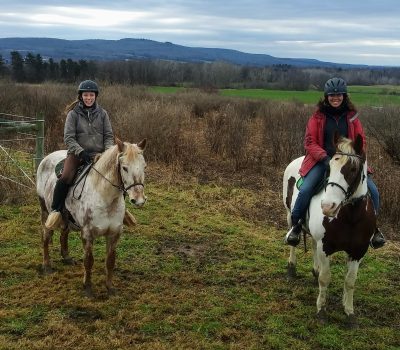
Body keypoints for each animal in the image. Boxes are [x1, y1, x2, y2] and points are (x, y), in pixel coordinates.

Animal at [36, 139, 147, 296]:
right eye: (124, 168)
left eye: (144, 167)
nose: (139, 200)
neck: (104, 196)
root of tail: (47, 158)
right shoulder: (88, 234)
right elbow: (88, 261)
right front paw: (88, 288)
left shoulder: (114, 234)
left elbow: (110, 261)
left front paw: (110, 287)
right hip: (45, 211)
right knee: (46, 235)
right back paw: (46, 266)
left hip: (67, 217)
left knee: (64, 233)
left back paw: (66, 257)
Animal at [282, 134, 376, 326]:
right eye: (329, 167)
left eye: (353, 169)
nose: (327, 206)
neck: (350, 217)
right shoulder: (325, 247)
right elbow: (325, 278)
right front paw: (321, 311)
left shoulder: (358, 251)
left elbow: (350, 281)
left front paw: (349, 312)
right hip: (289, 215)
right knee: (293, 242)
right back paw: (291, 269)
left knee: (312, 245)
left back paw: (314, 271)